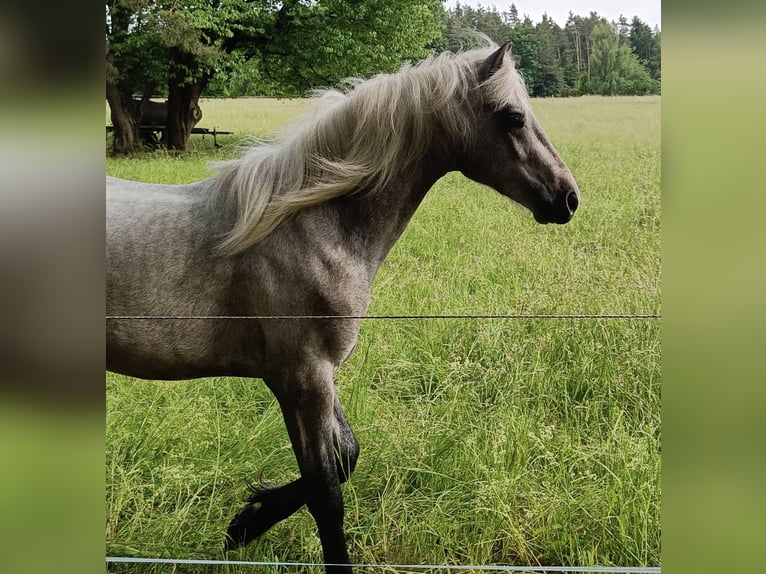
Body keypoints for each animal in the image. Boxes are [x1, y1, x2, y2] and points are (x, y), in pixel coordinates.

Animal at [106, 43, 579, 573]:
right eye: (513, 116)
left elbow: (347, 456)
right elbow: (326, 493)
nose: (568, 198)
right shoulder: (302, 378)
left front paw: (246, 521)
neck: (311, 225)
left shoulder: (318, 376)